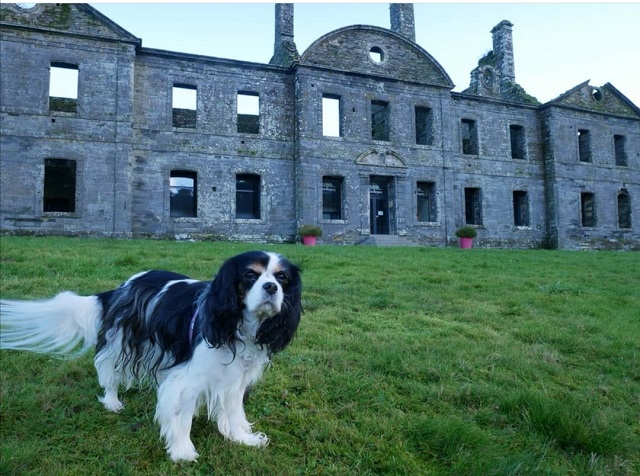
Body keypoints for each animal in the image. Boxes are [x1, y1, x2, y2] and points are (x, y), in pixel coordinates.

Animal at [0, 251, 302, 462]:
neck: (238, 325)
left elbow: (234, 409)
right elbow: (182, 415)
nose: (271, 288)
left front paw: (241, 438)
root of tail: (120, 288)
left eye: (282, 278)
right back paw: (112, 401)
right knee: (108, 372)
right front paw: (182, 451)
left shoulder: (235, 378)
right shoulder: (188, 379)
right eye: (251, 275)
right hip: (120, 343)